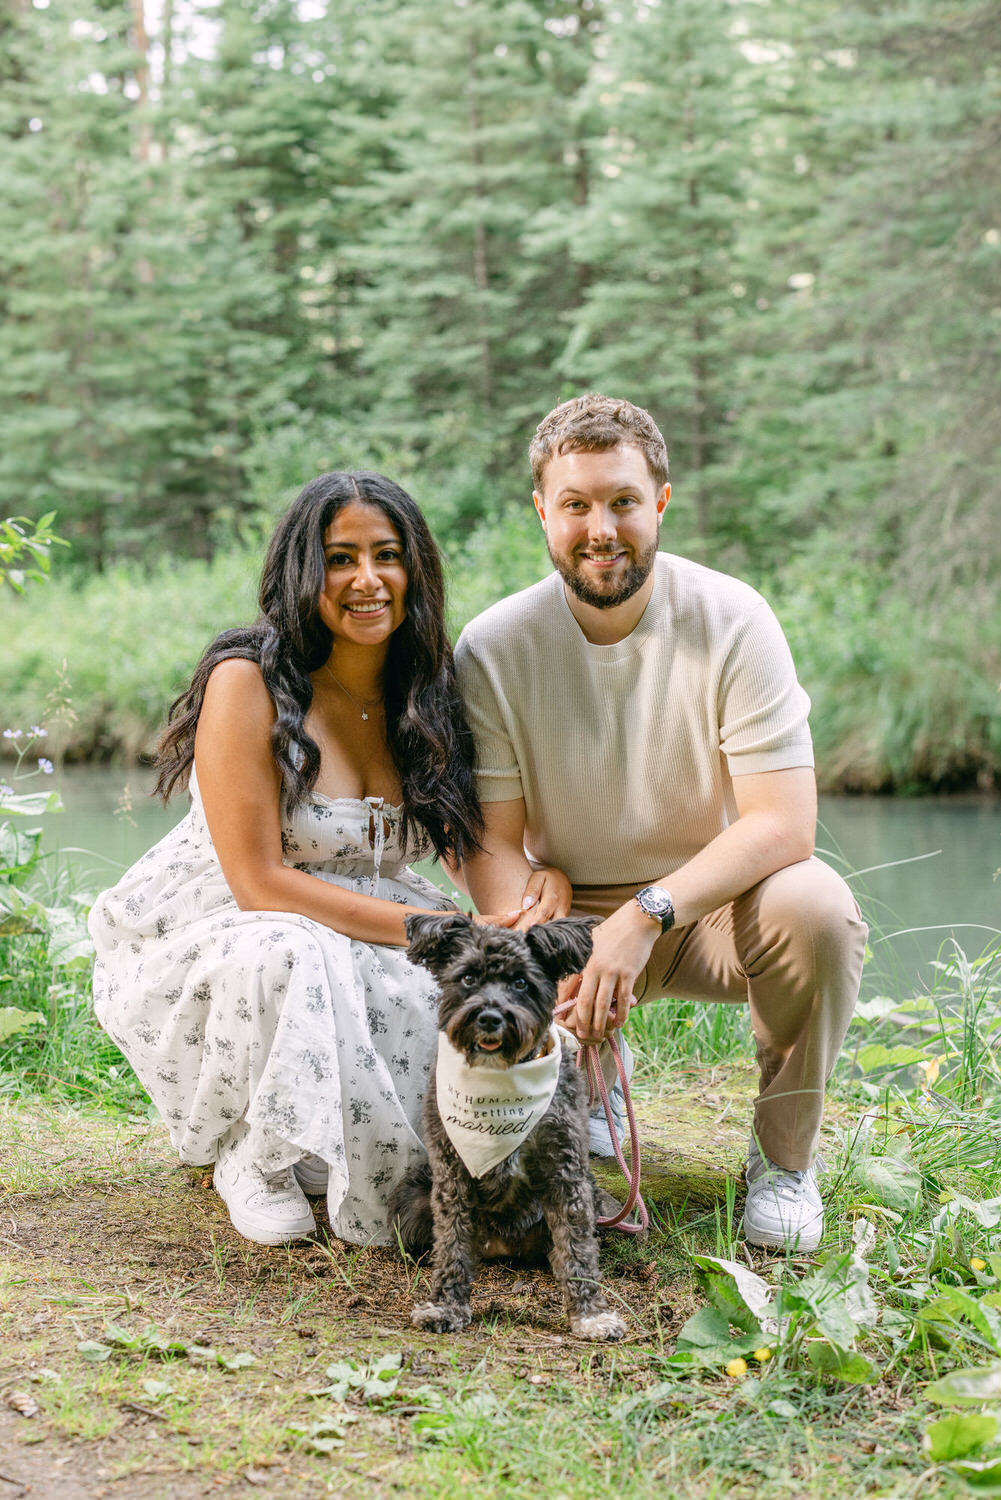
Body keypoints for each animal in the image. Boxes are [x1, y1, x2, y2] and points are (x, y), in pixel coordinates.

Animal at [390, 906, 627, 1344]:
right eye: (468, 977)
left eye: (521, 983)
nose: (489, 1017)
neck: (499, 1082)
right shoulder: (452, 1174)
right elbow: (452, 1244)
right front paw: (446, 1306)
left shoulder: (567, 1175)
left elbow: (577, 1250)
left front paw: (590, 1315)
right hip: (412, 1201)